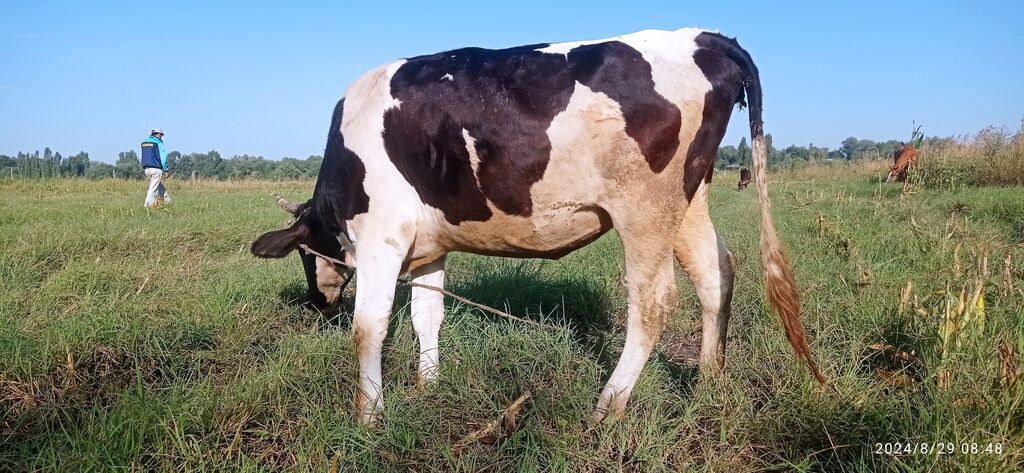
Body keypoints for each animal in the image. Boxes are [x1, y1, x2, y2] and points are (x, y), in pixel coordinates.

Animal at [252, 28, 824, 425]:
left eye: (305, 254)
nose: (315, 302)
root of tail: (704, 36)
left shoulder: (380, 236)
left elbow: (368, 328)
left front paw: (369, 416)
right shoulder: (428, 246)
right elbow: (426, 316)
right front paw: (427, 387)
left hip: (644, 210)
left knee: (654, 301)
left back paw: (608, 407)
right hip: (689, 200)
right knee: (715, 273)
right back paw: (708, 382)